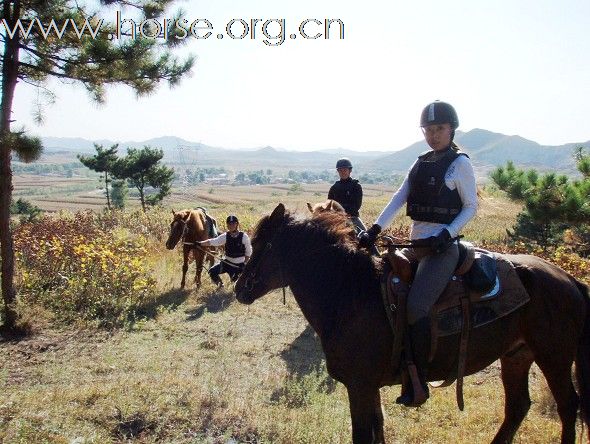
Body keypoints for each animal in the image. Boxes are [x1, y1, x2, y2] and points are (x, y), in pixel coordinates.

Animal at [235, 205, 590, 444]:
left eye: (263, 244)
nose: (240, 288)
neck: (352, 292)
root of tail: (568, 279)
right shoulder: (368, 388)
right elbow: (377, 430)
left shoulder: (359, 386)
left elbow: (364, 434)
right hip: (516, 355)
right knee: (517, 407)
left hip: (553, 357)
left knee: (567, 406)